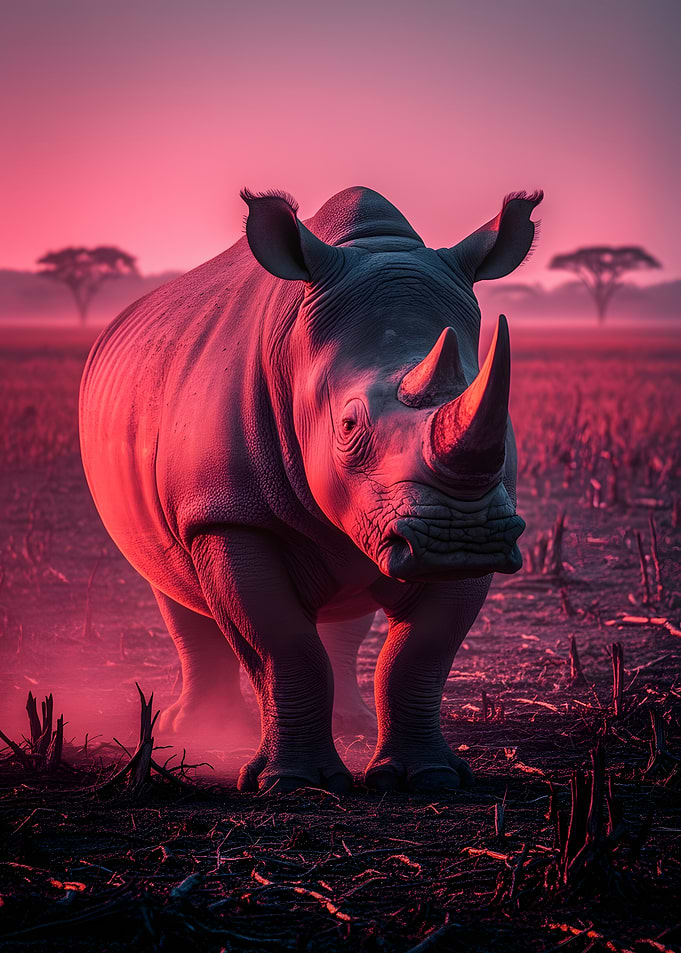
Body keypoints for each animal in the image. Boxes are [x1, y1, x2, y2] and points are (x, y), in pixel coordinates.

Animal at [79, 185, 542, 793]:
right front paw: (293, 784)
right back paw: (201, 728)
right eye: (348, 425)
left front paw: (429, 778)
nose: (459, 538)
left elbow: (420, 655)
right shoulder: (225, 514)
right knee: (172, 584)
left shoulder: (484, 516)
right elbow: (283, 647)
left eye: (506, 422)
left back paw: (351, 722)